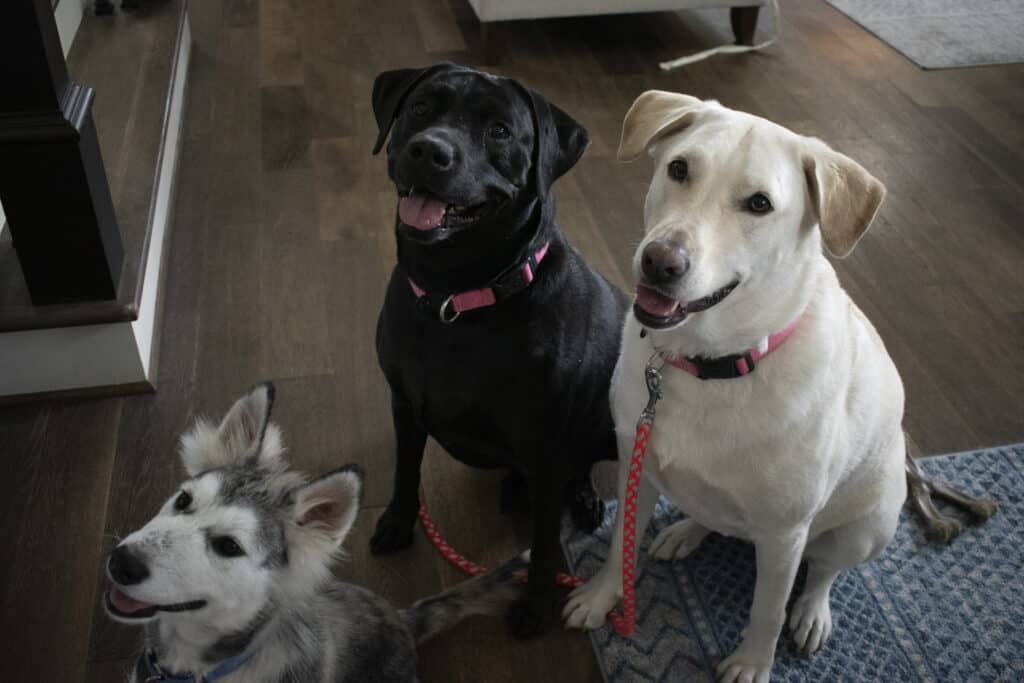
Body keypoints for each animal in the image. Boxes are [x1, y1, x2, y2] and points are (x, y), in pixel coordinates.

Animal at [368, 63, 622, 634]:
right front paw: (397, 523)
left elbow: (546, 545)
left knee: (583, 470)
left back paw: (584, 499)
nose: (429, 150)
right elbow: (404, 472)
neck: (455, 298)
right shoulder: (403, 405)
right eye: (421, 107)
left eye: (500, 131)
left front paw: (536, 606)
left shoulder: (546, 448)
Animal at [565, 92, 909, 683]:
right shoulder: (637, 462)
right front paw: (603, 596)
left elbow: (767, 611)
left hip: (871, 523)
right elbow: (618, 545)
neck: (711, 362)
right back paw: (685, 532)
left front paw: (751, 663)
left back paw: (812, 610)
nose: (660, 262)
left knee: (824, 570)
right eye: (679, 169)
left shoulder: (786, 533)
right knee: (717, 519)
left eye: (759, 204)